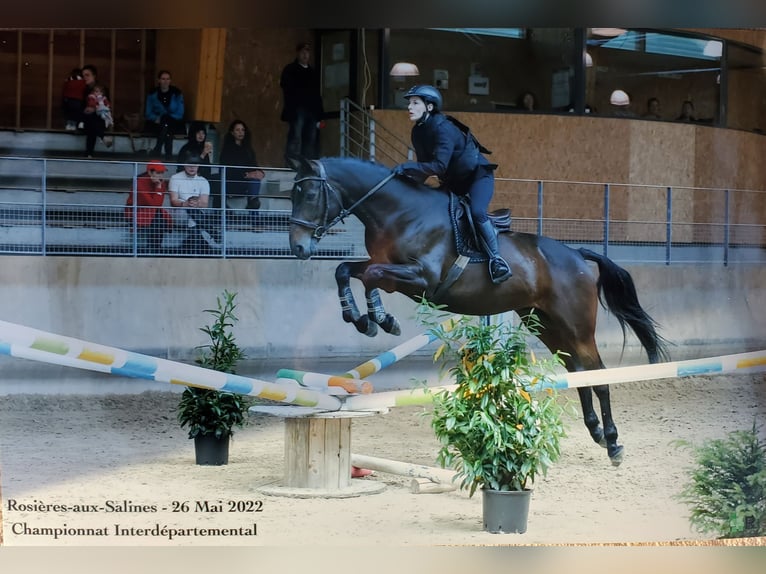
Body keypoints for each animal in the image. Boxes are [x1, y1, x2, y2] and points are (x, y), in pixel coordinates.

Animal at [288, 158, 672, 468]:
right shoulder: (384, 266)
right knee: (578, 372)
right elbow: (345, 271)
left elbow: (369, 278)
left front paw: (380, 320)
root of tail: (577, 255)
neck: (399, 212)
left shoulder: (420, 277)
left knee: (598, 373)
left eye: (310, 194)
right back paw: (597, 432)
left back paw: (613, 443)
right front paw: (361, 318)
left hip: (576, 325)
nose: (299, 247)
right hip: (545, 324)